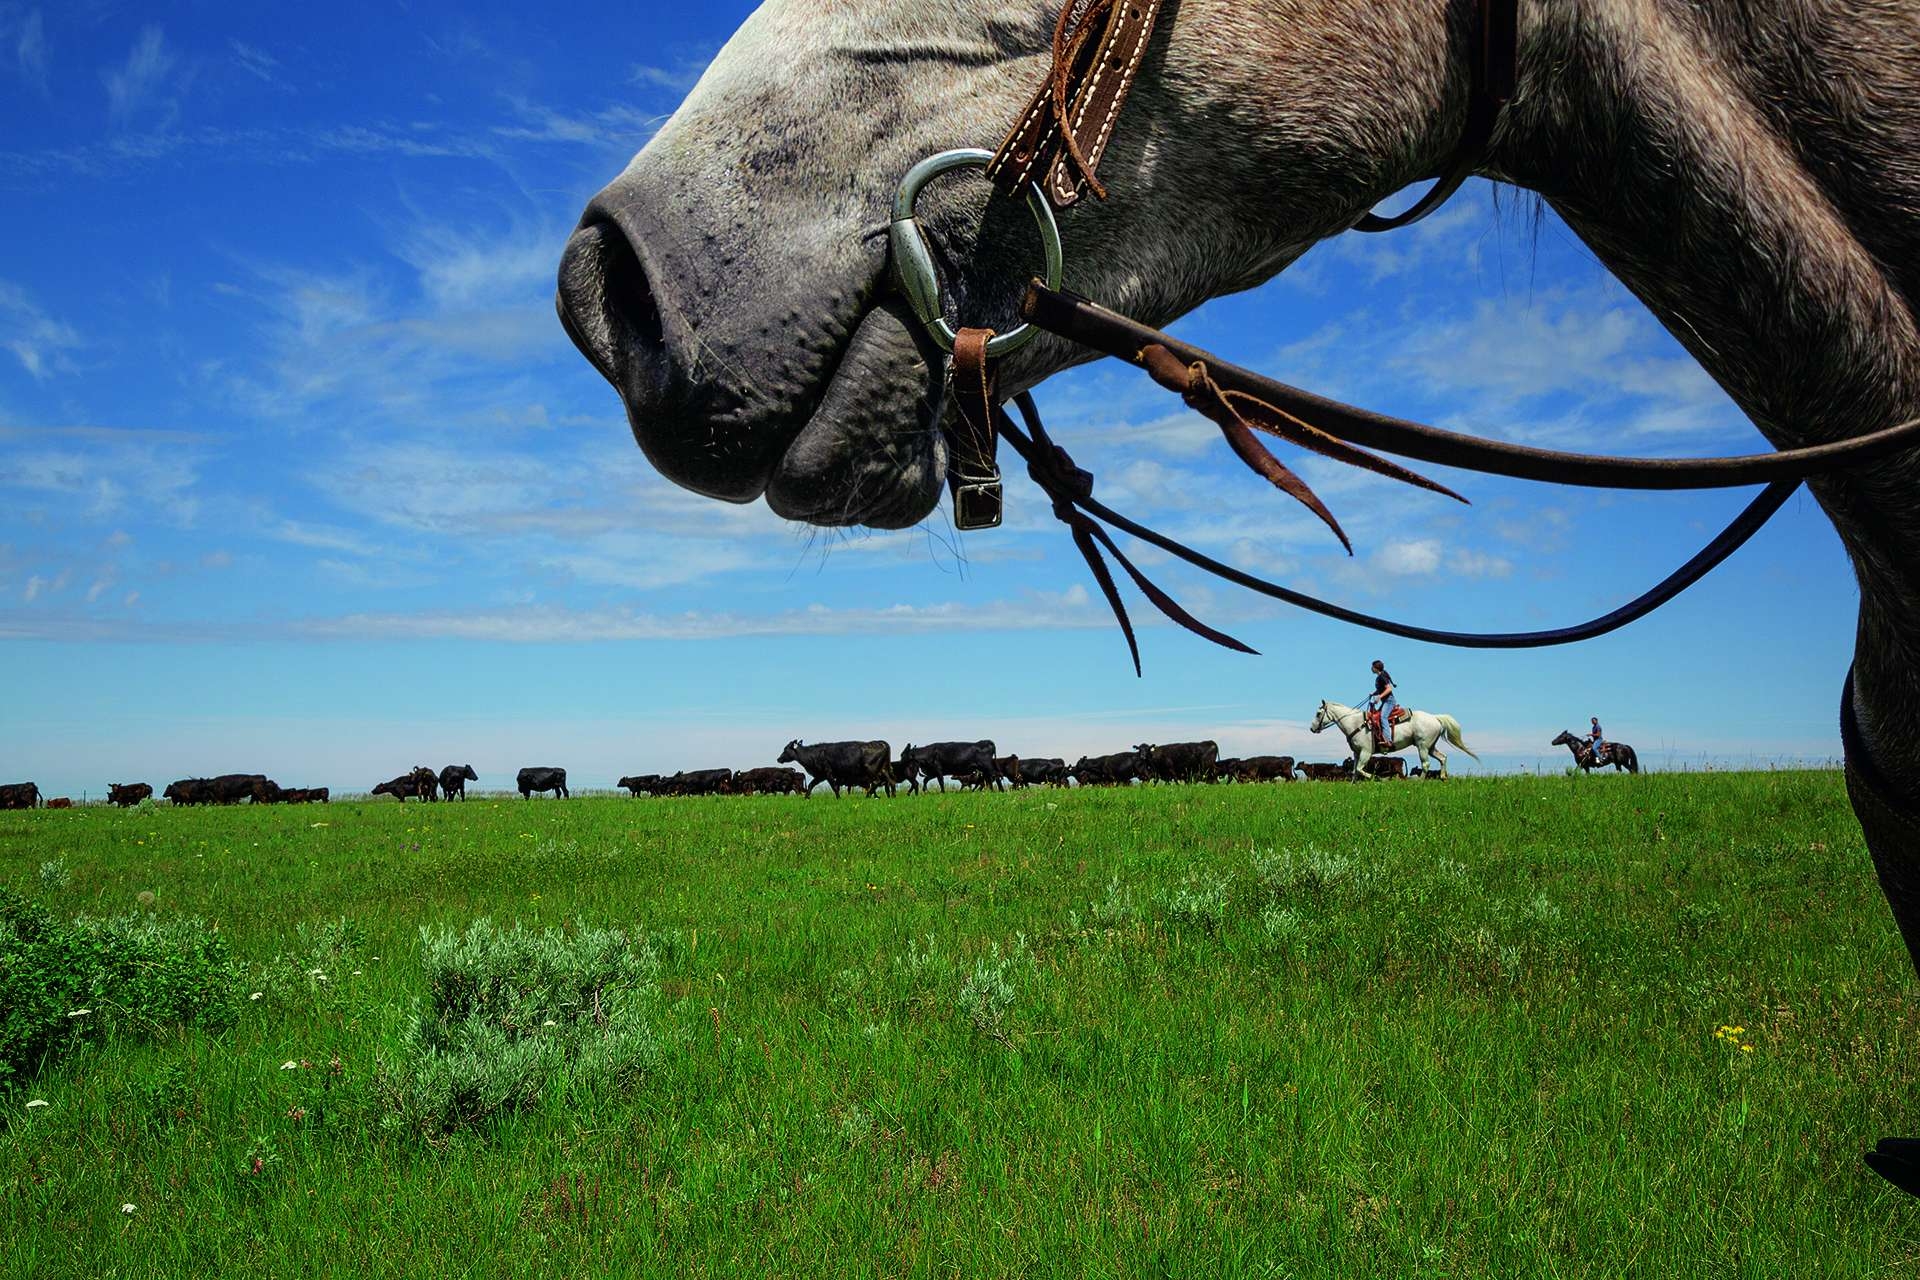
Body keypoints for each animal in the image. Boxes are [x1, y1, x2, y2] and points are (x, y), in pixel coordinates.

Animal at [1313, 702, 1474, 782]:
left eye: (1318, 713)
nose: (1312, 728)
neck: (1355, 723)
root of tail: (1435, 717)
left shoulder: (1366, 752)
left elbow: (1359, 769)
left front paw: (1376, 778)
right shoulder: (1357, 753)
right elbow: (1354, 771)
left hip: (1422, 746)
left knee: (1426, 764)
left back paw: (1419, 782)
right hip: (1430, 747)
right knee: (1442, 758)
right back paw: (1443, 777)